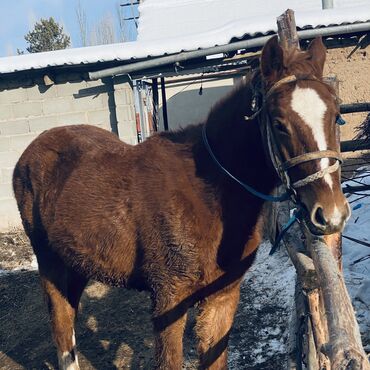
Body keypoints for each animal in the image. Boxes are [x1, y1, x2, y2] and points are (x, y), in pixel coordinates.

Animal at [12, 35, 350, 370]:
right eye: (279, 124)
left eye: (336, 115)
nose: (331, 214)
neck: (209, 195)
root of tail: (30, 152)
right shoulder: (168, 301)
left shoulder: (223, 296)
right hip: (50, 263)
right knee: (62, 326)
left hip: (78, 262)